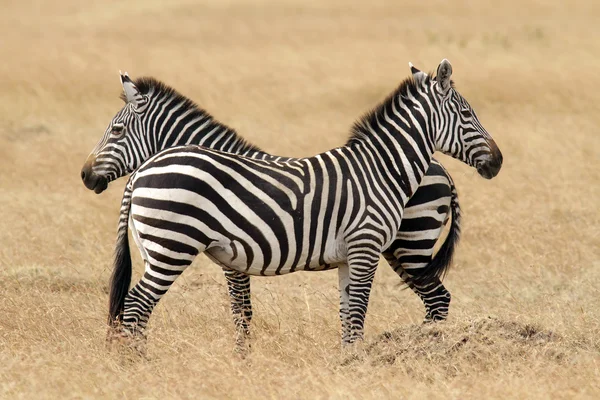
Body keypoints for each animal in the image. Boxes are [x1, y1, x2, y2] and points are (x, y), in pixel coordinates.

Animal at [91, 60, 502, 346]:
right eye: (468, 113)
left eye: (116, 130)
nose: (497, 162)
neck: (380, 167)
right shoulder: (359, 247)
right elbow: (258, 313)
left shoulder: (350, 253)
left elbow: (345, 315)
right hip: (169, 246)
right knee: (136, 305)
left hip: (409, 246)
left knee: (437, 299)